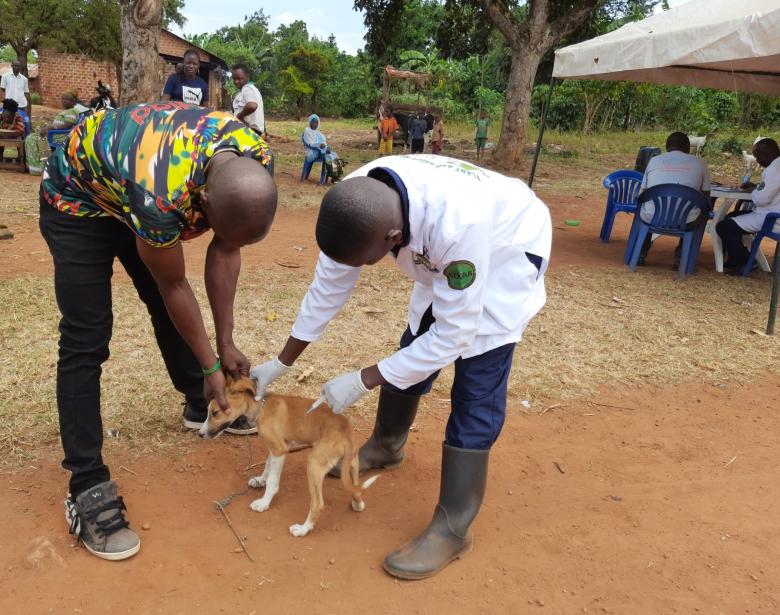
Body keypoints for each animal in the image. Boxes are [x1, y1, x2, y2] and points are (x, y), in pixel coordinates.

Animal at [197, 378, 376, 536]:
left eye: (215, 413)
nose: (200, 434)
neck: (261, 406)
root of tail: (345, 433)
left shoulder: (279, 449)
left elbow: (272, 481)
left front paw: (264, 503)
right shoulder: (275, 447)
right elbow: (267, 466)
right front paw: (260, 480)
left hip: (314, 464)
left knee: (318, 504)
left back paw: (303, 529)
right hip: (353, 464)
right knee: (357, 492)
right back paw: (357, 504)